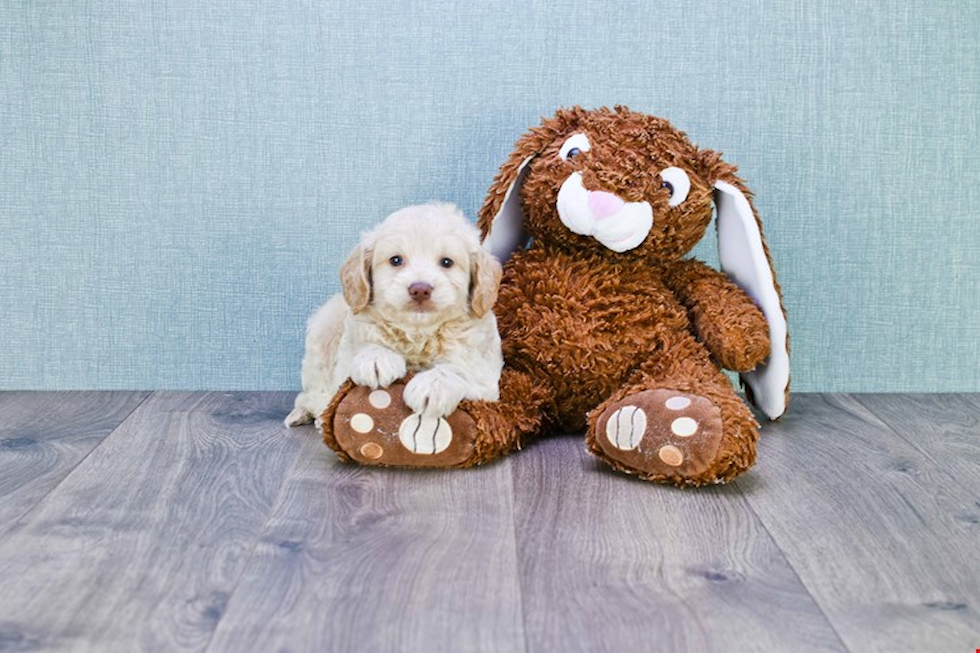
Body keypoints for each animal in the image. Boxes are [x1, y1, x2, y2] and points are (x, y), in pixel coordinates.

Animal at [282, 204, 498, 428]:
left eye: (447, 262)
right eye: (396, 260)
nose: (420, 289)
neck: (417, 333)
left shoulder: (486, 374)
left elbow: (461, 369)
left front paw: (432, 385)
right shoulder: (346, 358)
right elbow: (363, 349)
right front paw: (376, 359)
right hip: (326, 324)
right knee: (312, 390)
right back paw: (309, 414)